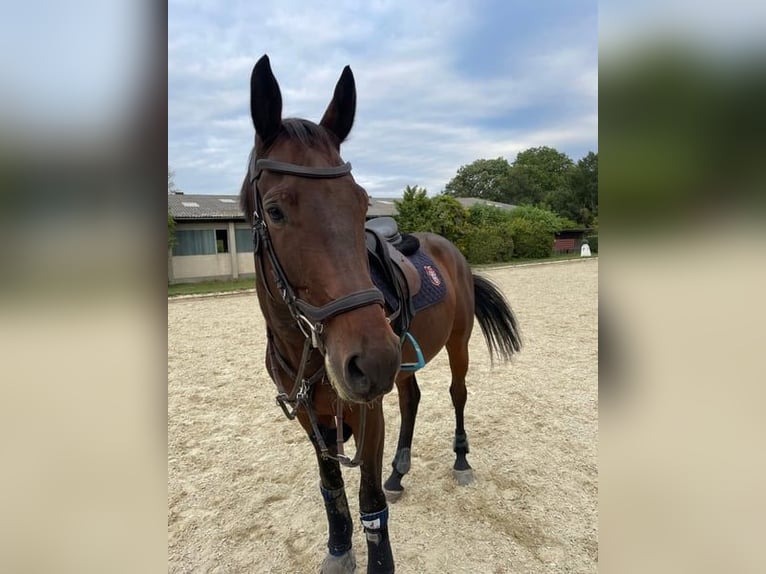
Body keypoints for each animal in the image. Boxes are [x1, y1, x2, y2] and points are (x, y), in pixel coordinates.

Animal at [242, 55, 520, 574]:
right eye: (274, 210)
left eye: (361, 203)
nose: (369, 359)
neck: (306, 350)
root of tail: (452, 249)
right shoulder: (313, 418)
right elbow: (332, 487)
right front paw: (338, 548)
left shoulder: (367, 411)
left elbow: (369, 500)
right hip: (403, 362)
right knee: (412, 399)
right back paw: (399, 470)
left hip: (454, 346)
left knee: (457, 394)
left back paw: (461, 460)